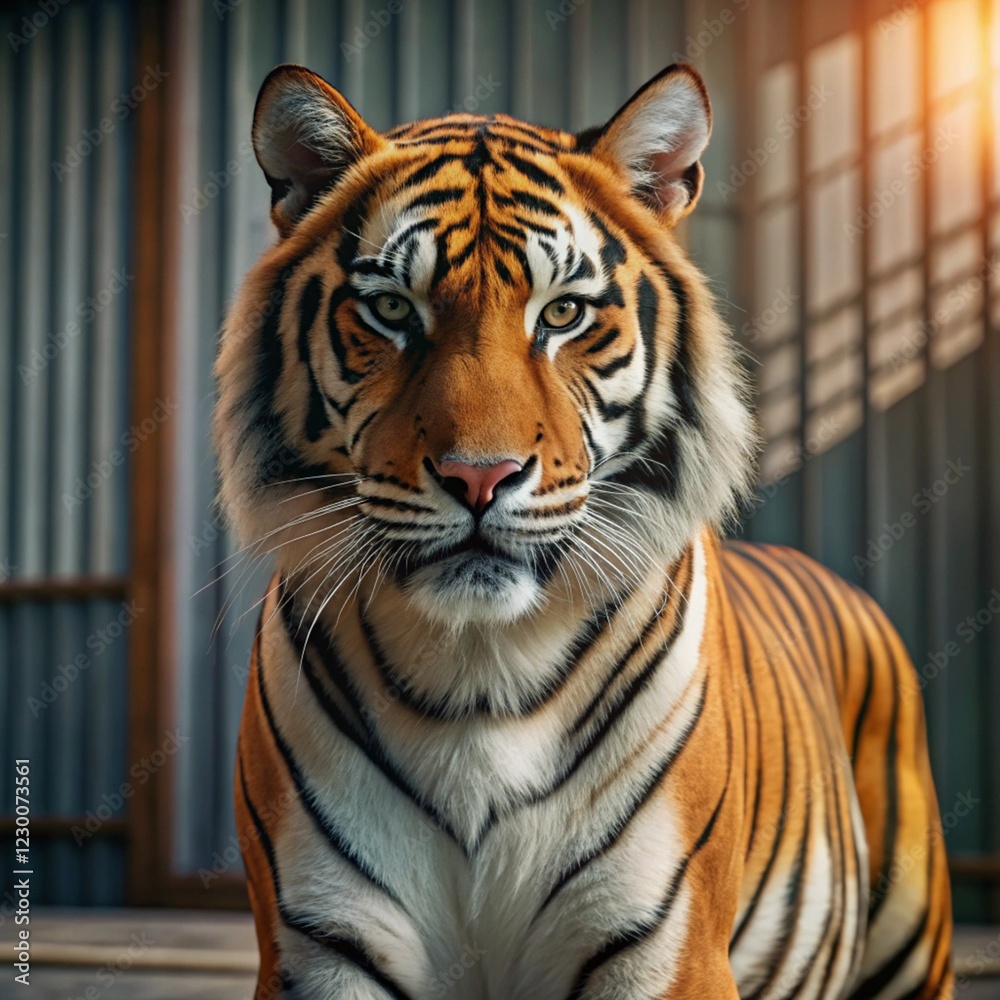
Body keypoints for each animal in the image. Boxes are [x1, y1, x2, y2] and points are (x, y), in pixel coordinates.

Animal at [215, 61, 954, 1000]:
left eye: (562, 315)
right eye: (390, 310)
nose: (480, 477)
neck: (477, 674)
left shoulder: (666, 949)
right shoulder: (323, 945)